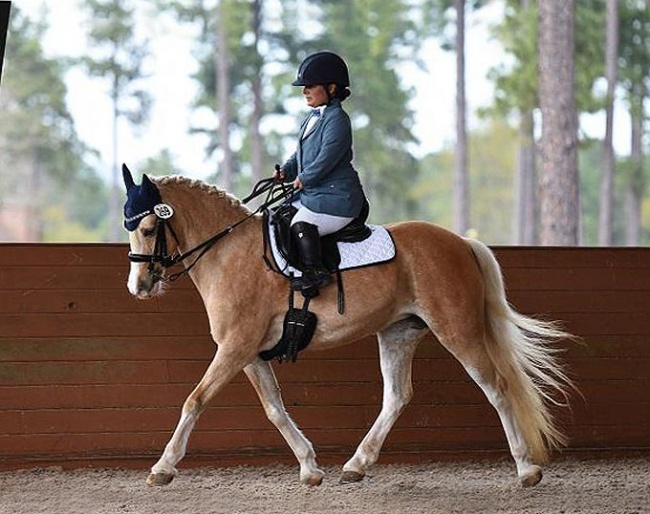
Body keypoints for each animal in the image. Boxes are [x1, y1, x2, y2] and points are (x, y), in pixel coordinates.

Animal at [121, 167, 572, 488]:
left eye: (148, 229)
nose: (138, 287)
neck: (229, 252)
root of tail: (461, 242)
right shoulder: (248, 353)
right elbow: (275, 409)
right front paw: (309, 467)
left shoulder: (235, 347)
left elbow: (194, 400)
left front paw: (163, 467)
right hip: (398, 333)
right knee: (397, 396)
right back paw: (356, 464)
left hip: (458, 330)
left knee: (496, 386)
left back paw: (526, 470)